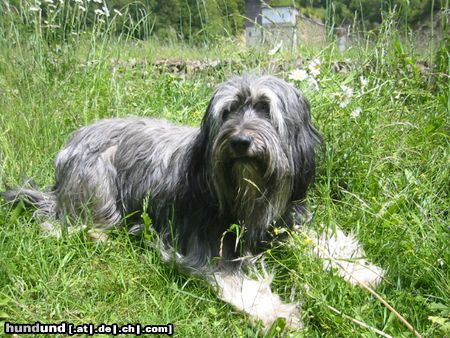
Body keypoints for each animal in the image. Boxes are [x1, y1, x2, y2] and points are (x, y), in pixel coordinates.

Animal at [2, 74, 384, 330]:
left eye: (265, 109)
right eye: (229, 111)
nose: (240, 141)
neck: (247, 197)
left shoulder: (285, 222)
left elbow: (321, 241)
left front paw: (359, 270)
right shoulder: (204, 245)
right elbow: (236, 280)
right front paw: (277, 314)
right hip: (96, 184)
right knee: (58, 223)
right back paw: (99, 235)